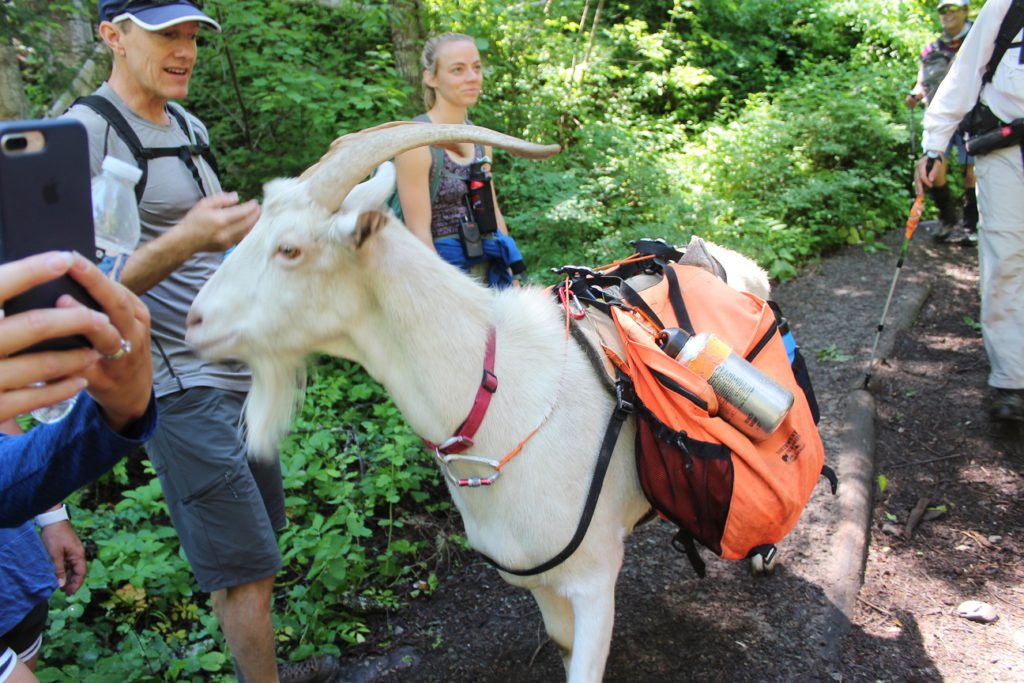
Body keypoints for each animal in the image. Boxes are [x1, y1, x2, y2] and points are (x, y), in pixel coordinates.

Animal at [190, 122, 770, 683]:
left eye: (289, 249)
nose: (194, 321)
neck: (502, 399)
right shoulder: (542, 579)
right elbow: (560, 645)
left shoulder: (595, 576)